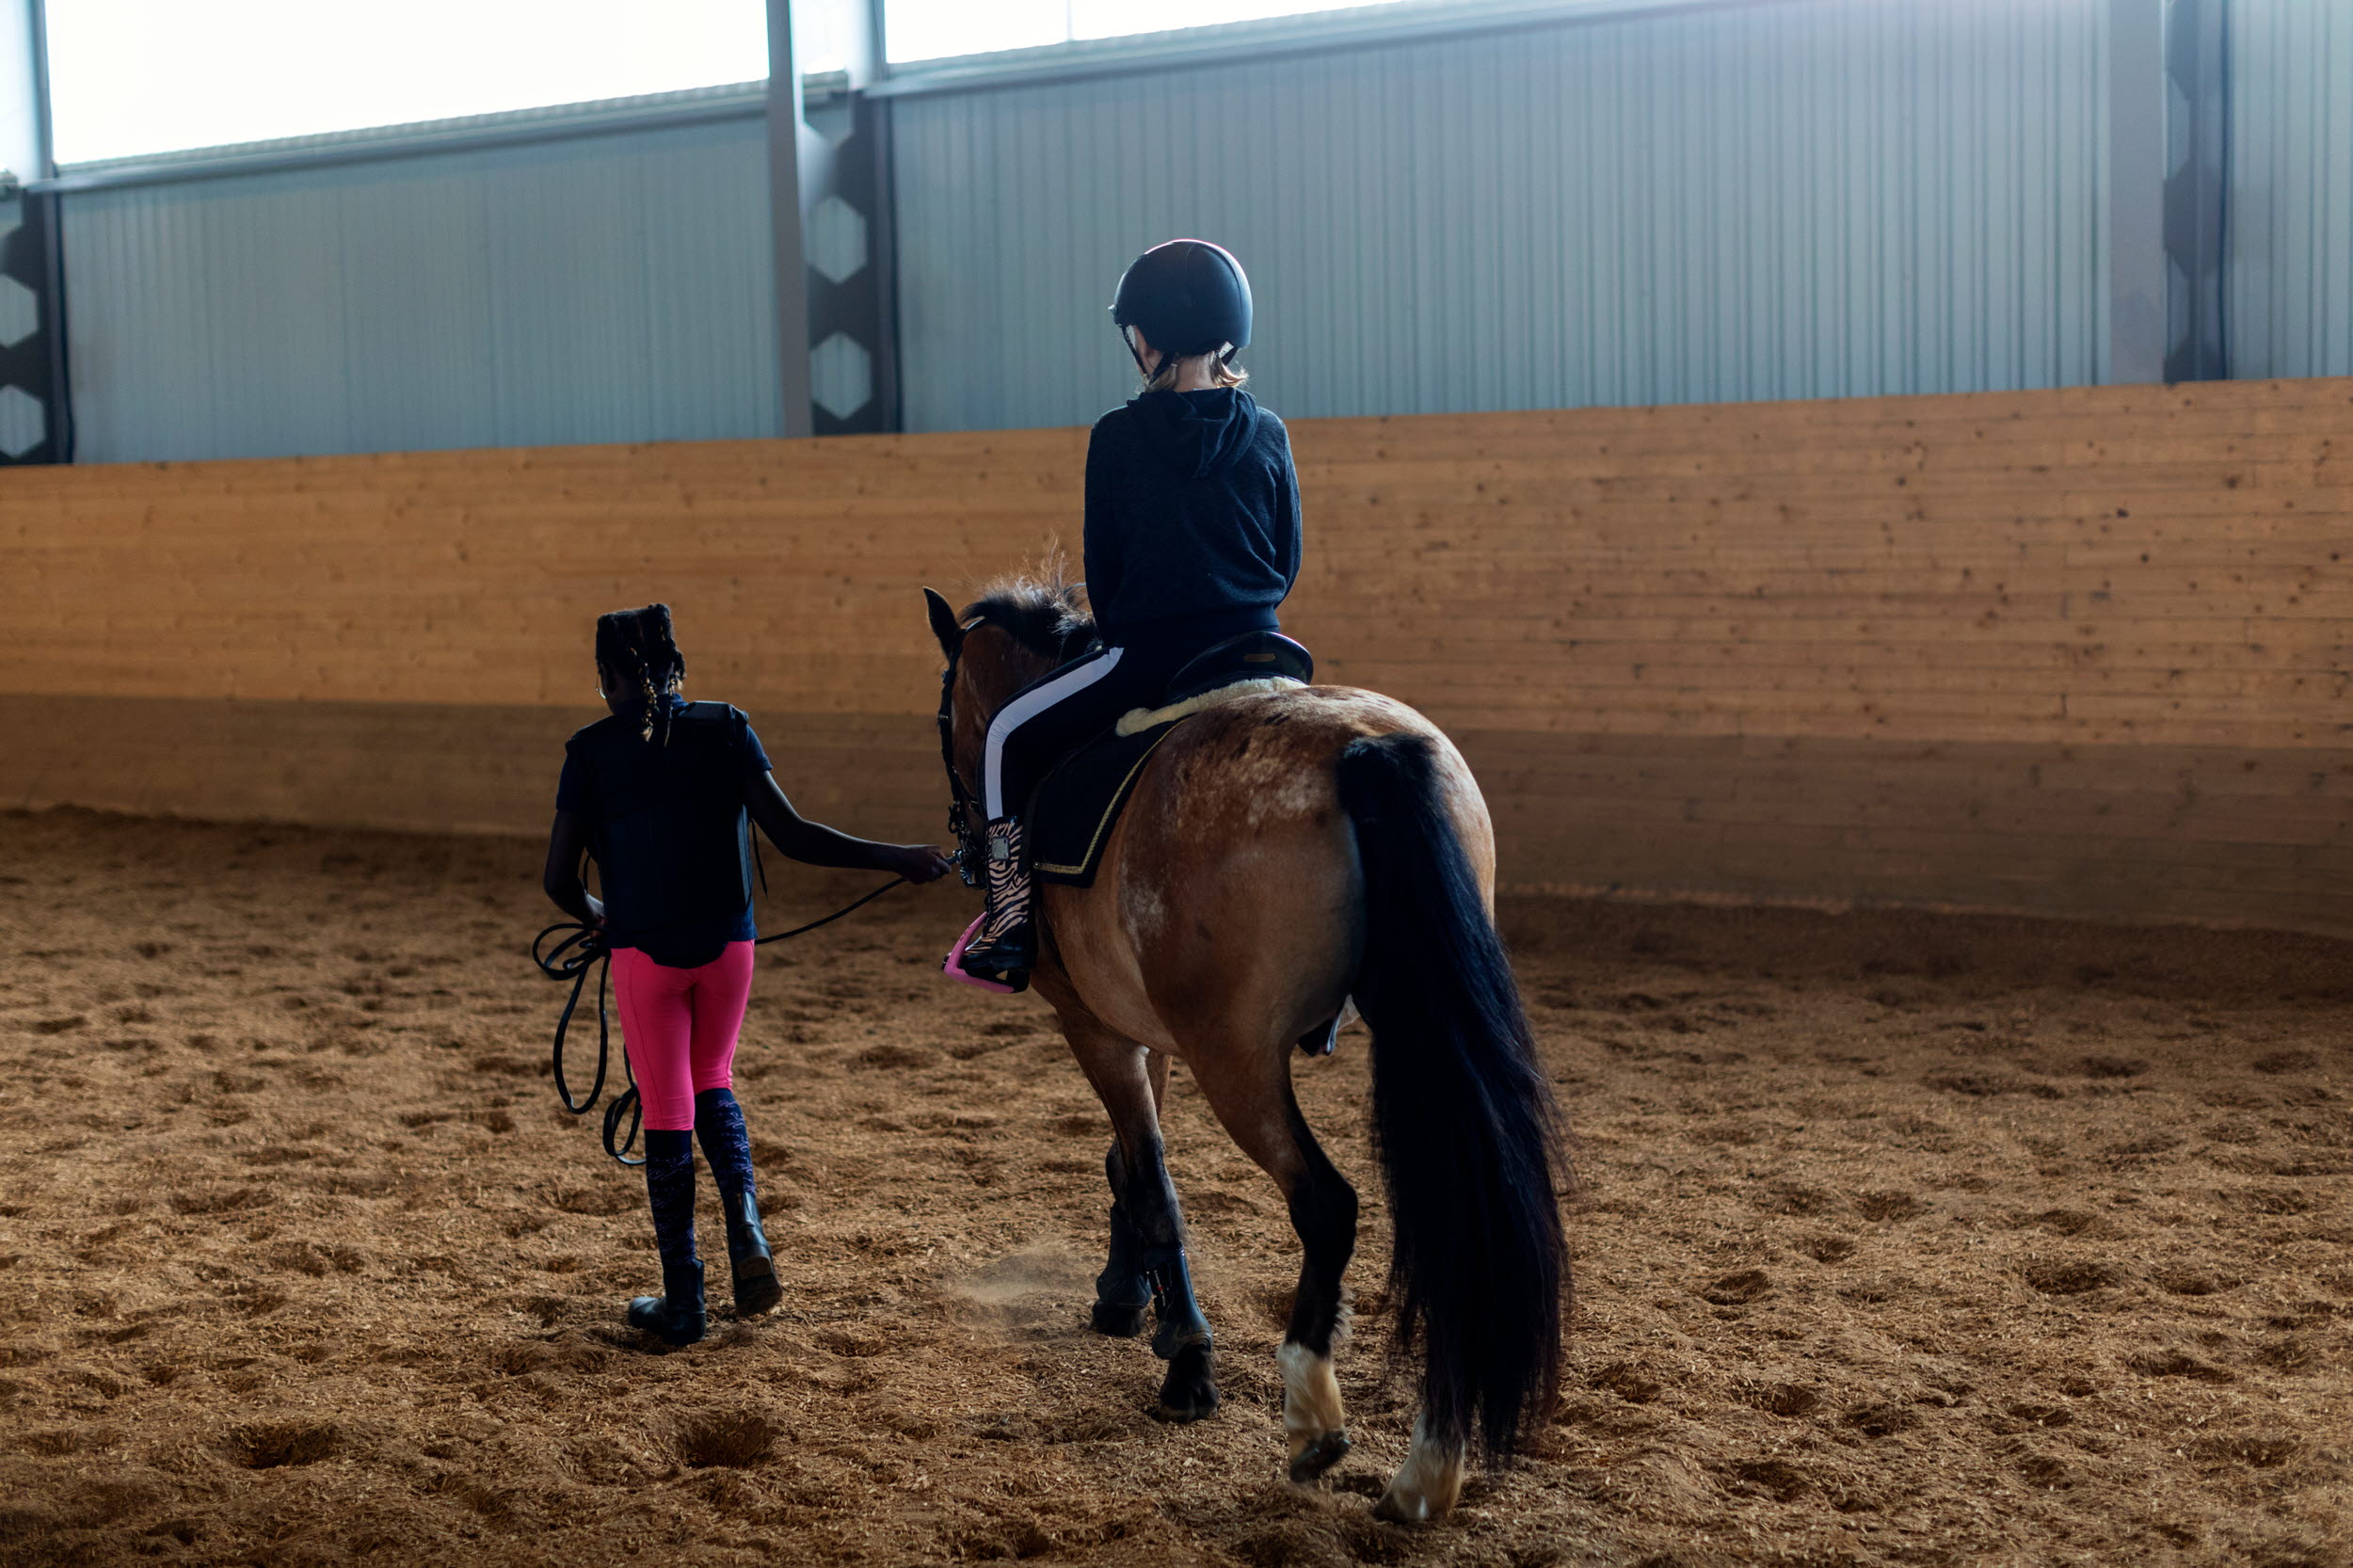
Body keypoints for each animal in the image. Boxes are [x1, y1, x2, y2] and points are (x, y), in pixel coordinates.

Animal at [927, 574, 1572, 1515]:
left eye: (945, 718)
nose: (968, 843)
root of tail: (1365, 749)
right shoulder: (1140, 1025)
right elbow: (1130, 1166)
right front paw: (1127, 1299)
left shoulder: (1094, 1025)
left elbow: (1152, 1181)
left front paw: (1186, 1358)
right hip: (1417, 1026)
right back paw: (1427, 1469)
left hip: (1237, 1060)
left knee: (1326, 1203)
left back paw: (1312, 1415)